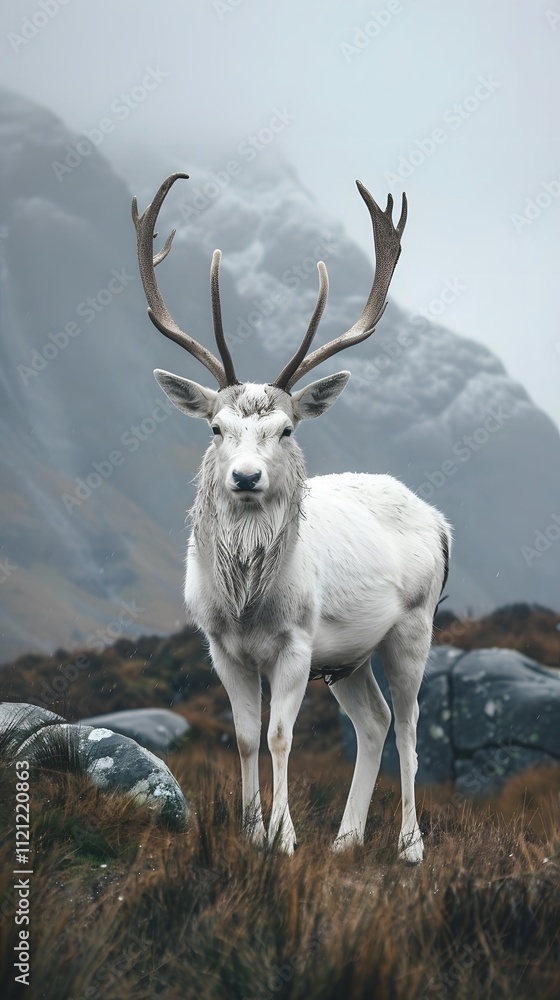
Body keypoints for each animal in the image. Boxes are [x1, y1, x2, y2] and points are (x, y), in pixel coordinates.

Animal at [132, 173, 451, 863]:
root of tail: (441, 524)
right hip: (350, 656)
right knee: (375, 721)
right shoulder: (219, 645)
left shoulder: (298, 641)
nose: (246, 477)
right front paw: (250, 832)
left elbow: (281, 736)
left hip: (413, 625)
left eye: (285, 428)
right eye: (216, 427)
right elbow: (246, 736)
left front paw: (283, 836)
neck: (249, 603)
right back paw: (346, 839)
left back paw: (409, 845)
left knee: (411, 726)